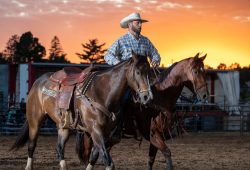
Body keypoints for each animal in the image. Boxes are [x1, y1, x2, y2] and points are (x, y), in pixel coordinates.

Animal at [10, 53, 153, 169]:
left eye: (150, 72)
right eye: (138, 72)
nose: (147, 97)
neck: (102, 93)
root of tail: (37, 82)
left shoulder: (105, 133)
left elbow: (94, 157)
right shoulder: (95, 130)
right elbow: (107, 161)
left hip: (63, 126)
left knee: (59, 148)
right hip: (35, 121)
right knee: (31, 146)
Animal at [75, 53, 208, 170]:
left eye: (204, 71)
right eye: (196, 71)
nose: (205, 95)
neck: (159, 99)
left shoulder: (157, 137)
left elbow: (151, 159)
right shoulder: (153, 135)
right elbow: (167, 152)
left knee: (95, 153)